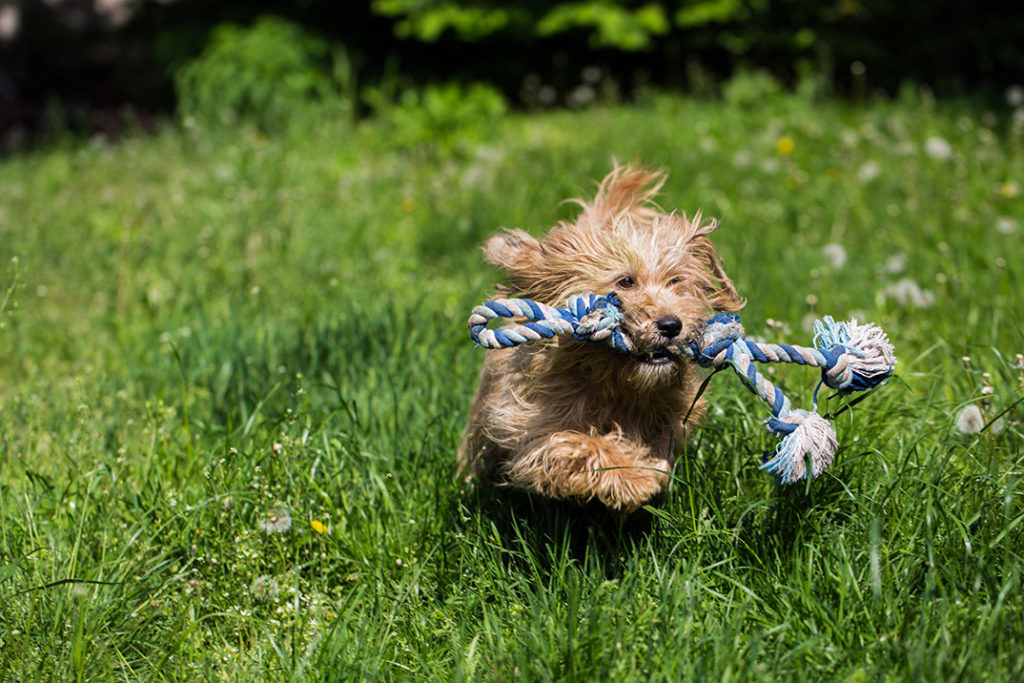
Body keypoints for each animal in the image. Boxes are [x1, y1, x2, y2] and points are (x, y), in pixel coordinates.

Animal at [460, 165, 741, 516]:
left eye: (676, 281)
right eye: (625, 281)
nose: (671, 324)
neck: (614, 385)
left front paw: (644, 469)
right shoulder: (532, 425)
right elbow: (576, 444)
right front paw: (632, 476)